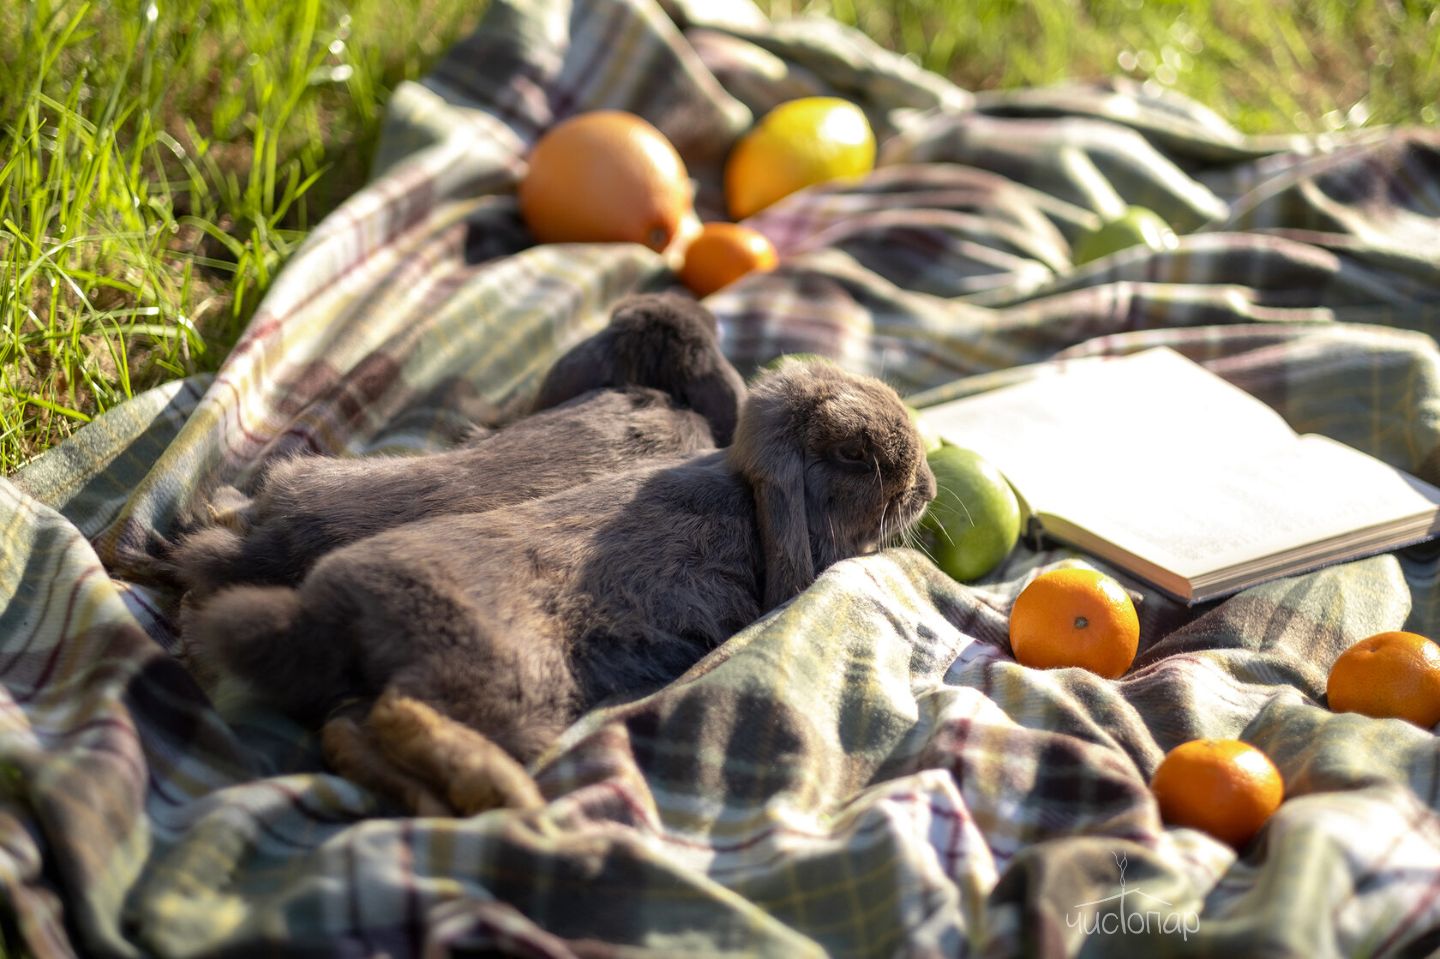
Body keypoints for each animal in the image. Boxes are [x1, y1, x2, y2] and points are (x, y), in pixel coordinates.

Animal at [185, 359, 938, 812]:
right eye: (855, 453)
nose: (928, 489)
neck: (754, 505)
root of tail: (327, 610)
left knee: (346, 732)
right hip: (508, 677)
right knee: (401, 714)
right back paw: (506, 792)